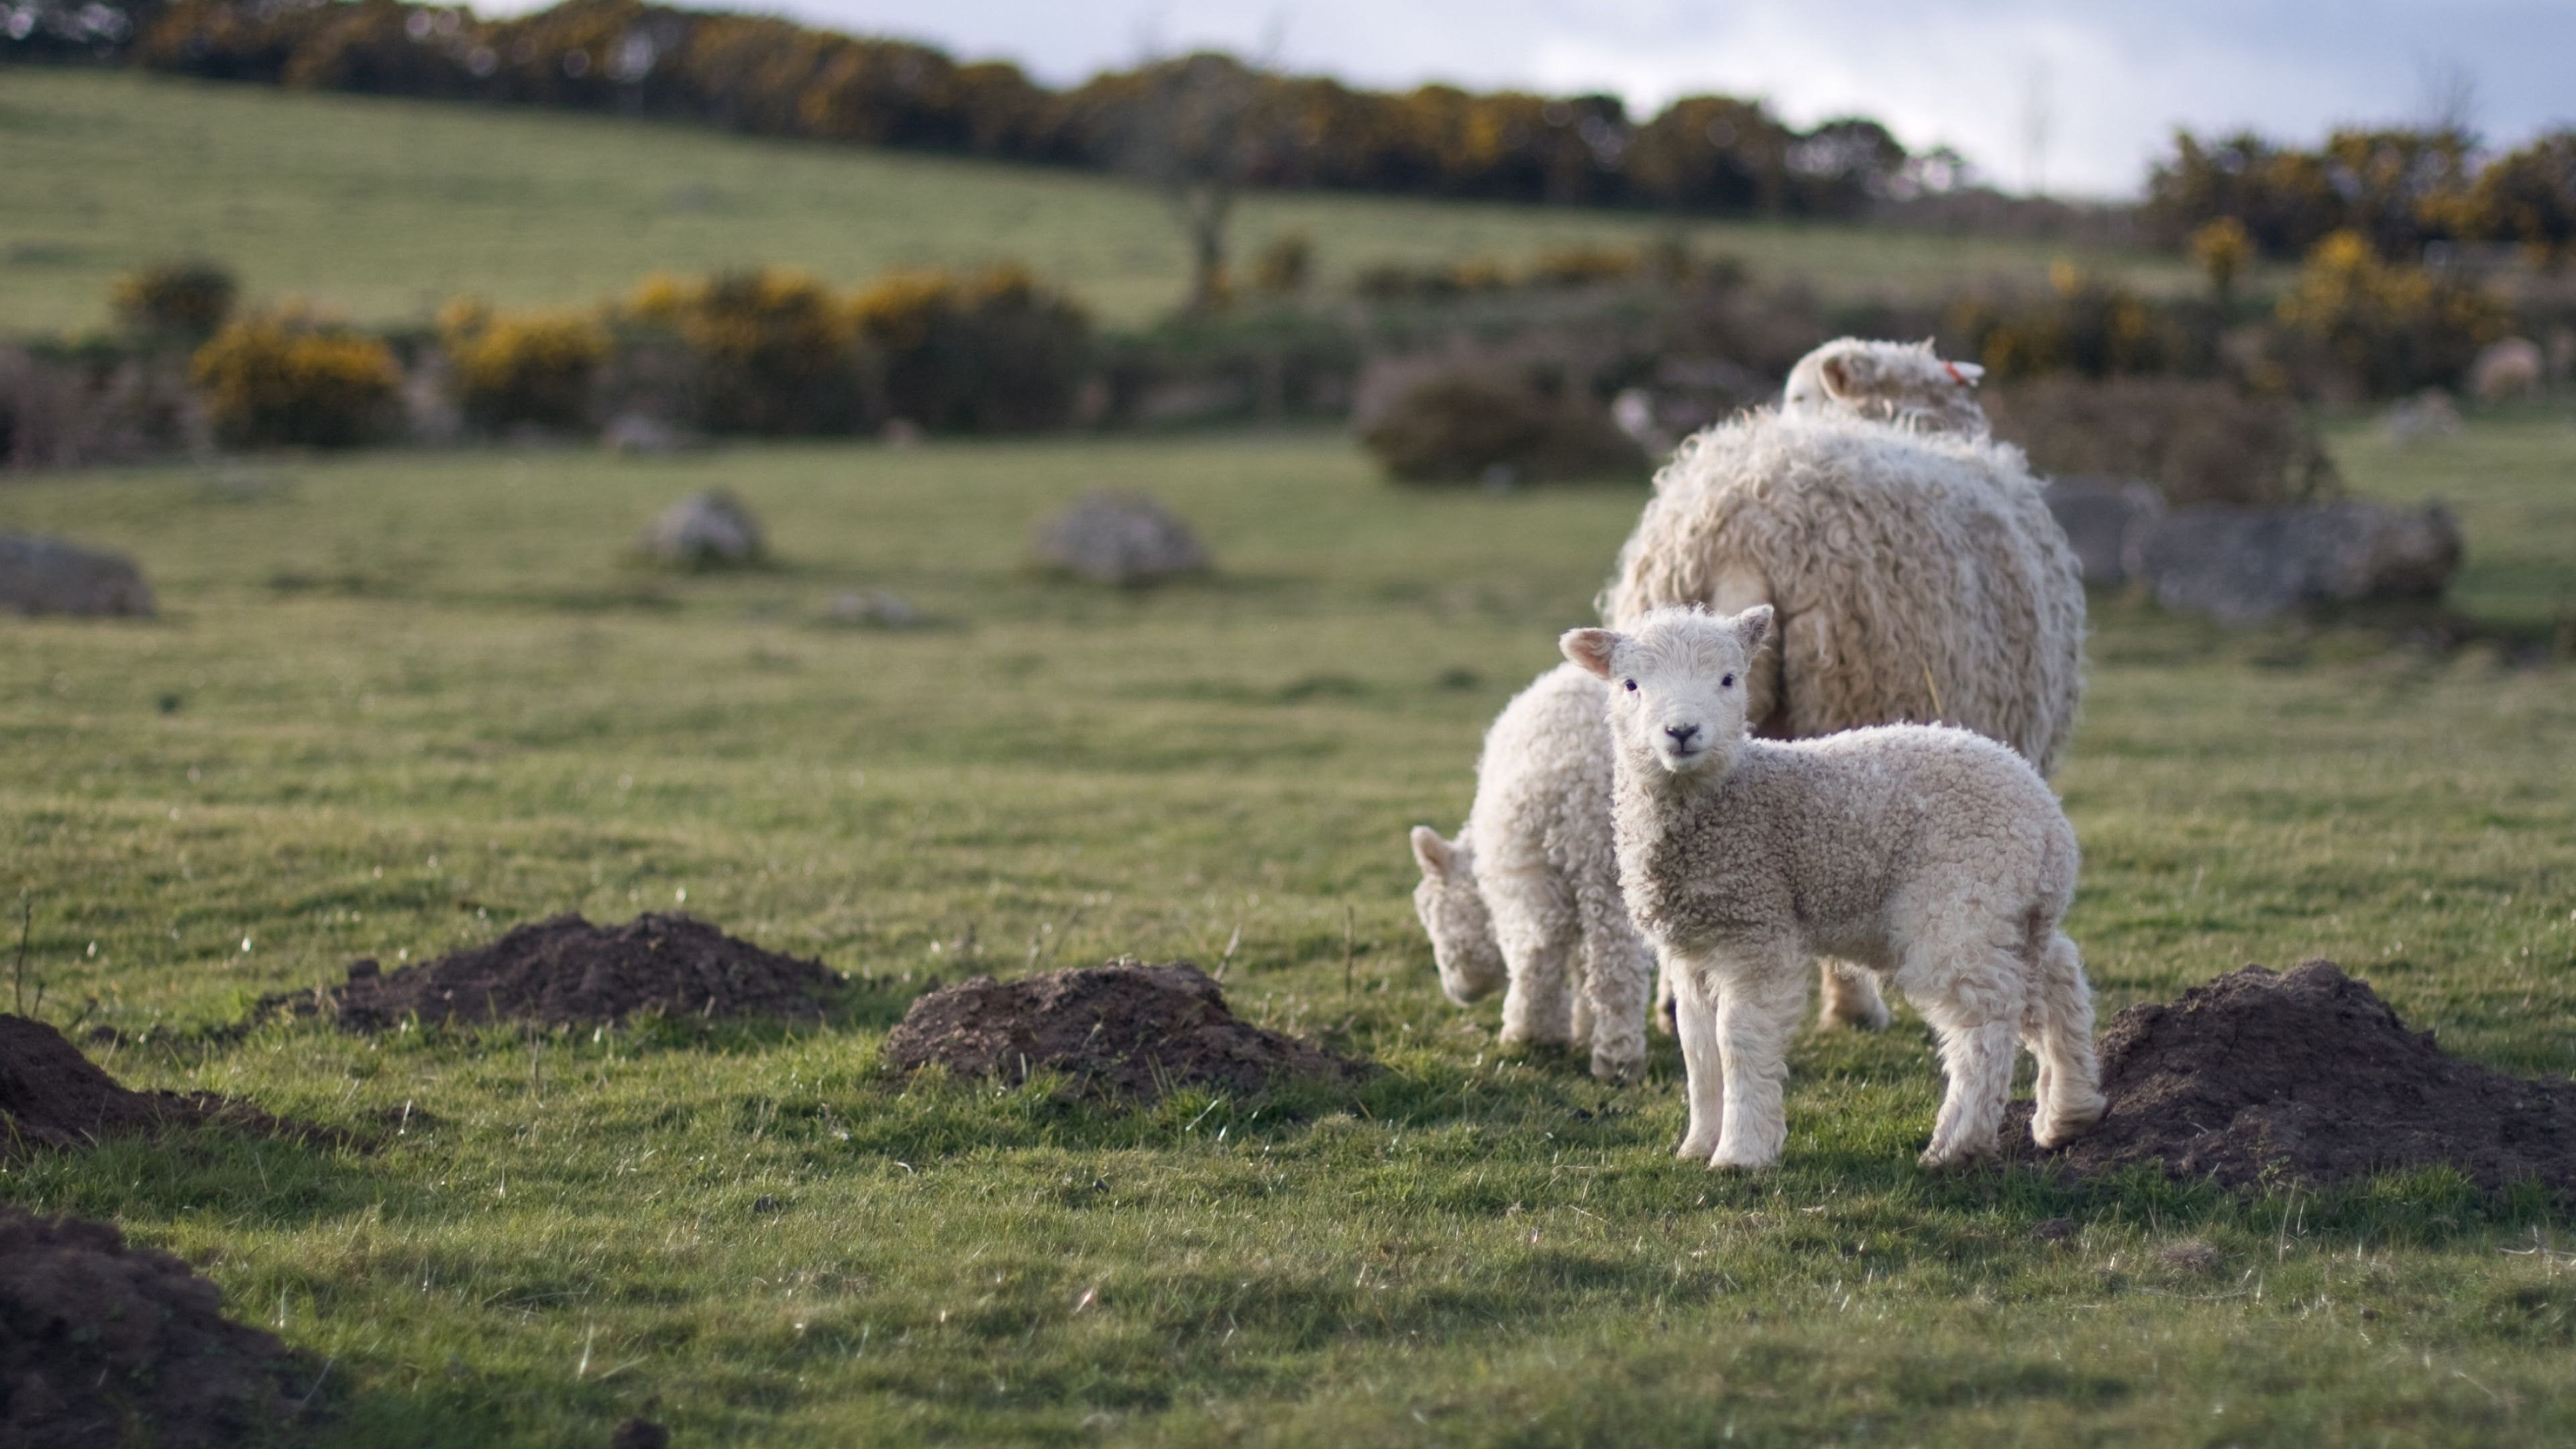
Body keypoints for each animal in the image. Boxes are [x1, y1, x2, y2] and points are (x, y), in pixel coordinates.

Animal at [1561, 604, 2106, 1169]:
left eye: (1729, 679)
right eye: (1630, 685)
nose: (1683, 731)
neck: (1728, 797)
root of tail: (2050, 821)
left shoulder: (1757, 929)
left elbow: (1739, 1040)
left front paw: (1740, 1152)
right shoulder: (1692, 949)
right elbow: (1698, 1045)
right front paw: (1696, 1146)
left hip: (1961, 899)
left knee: (1985, 1023)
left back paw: (1956, 1143)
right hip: (2010, 909)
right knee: (2057, 977)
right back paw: (2068, 1112)